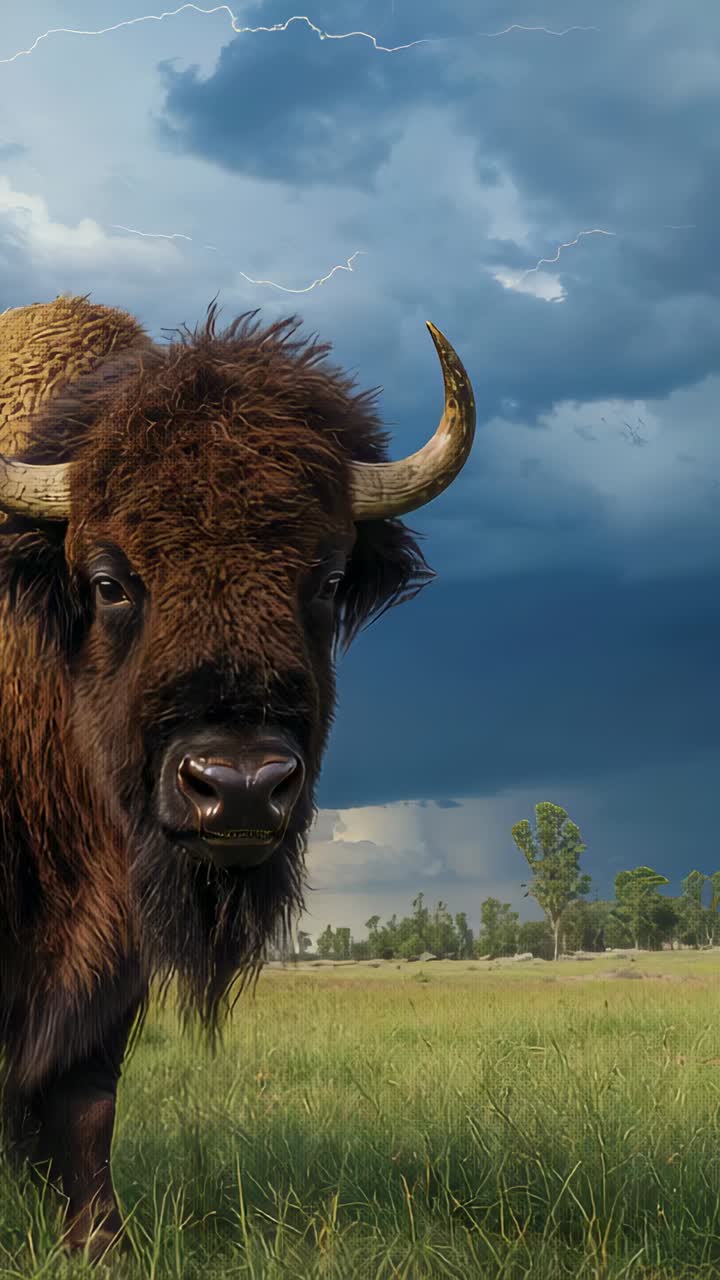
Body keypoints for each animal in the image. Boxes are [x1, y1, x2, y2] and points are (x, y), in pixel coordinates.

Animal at [0, 294, 475, 1259]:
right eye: (108, 580)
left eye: (326, 578)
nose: (242, 786)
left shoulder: (113, 946)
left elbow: (83, 1099)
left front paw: (102, 1246)